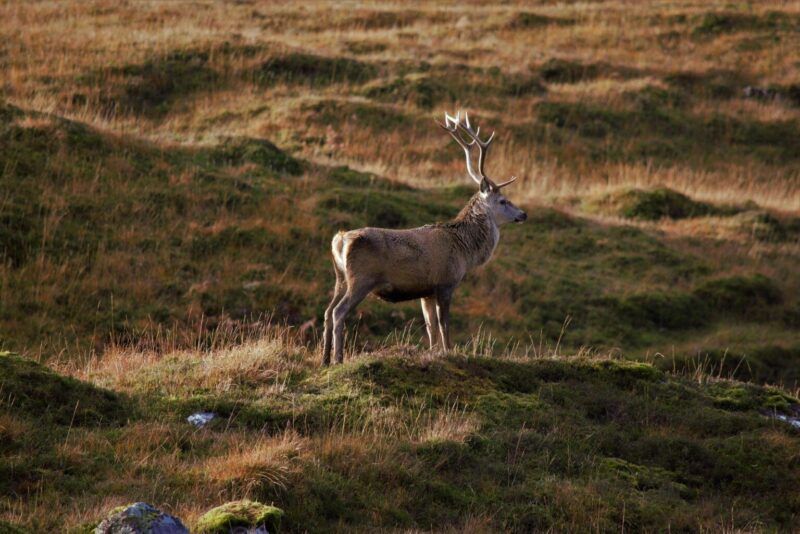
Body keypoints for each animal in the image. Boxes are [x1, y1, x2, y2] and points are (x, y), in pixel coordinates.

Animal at [321, 111, 527, 365]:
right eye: (503, 201)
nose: (523, 214)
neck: (465, 251)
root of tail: (340, 240)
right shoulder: (445, 282)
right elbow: (444, 325)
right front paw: (449, 351)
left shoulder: (426, 291)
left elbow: (430, 327)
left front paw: (432, 352)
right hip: (361, 278)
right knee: (339, 312)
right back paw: (338, 359)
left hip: (340, 277)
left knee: (327, 311)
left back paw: (324, 359)